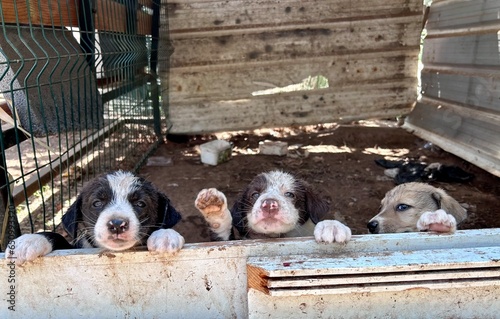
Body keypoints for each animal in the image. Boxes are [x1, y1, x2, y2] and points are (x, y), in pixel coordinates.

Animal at [4, 171, 185, 266]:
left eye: (140, 203)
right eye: (97, 203)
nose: (117, 224)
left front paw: (165, 235)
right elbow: (56, 235)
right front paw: (28, 241)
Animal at [193, 171, 350, 244]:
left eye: (290, 194)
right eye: (255, 194)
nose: (269, 204)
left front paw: (332, 226)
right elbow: (222, 233)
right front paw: (214, 208)